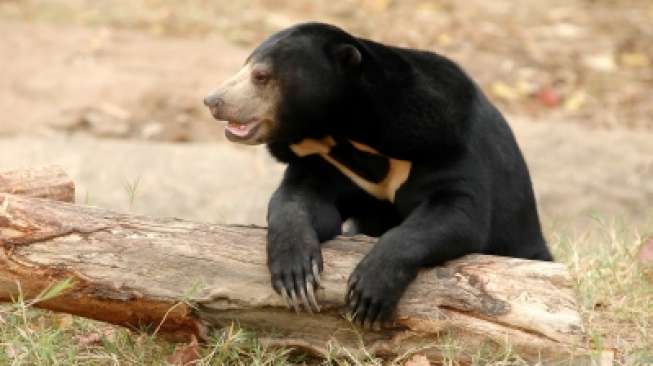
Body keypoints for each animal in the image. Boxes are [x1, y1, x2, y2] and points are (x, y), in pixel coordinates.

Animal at [202, 22, 552, 328]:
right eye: (246, 66)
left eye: (261, 76)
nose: (212, 101)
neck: (343, 133)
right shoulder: (326, 164)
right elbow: (300, 201)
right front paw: (296, 276)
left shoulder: (444, 141)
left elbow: (457, 212)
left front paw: (368, 292)